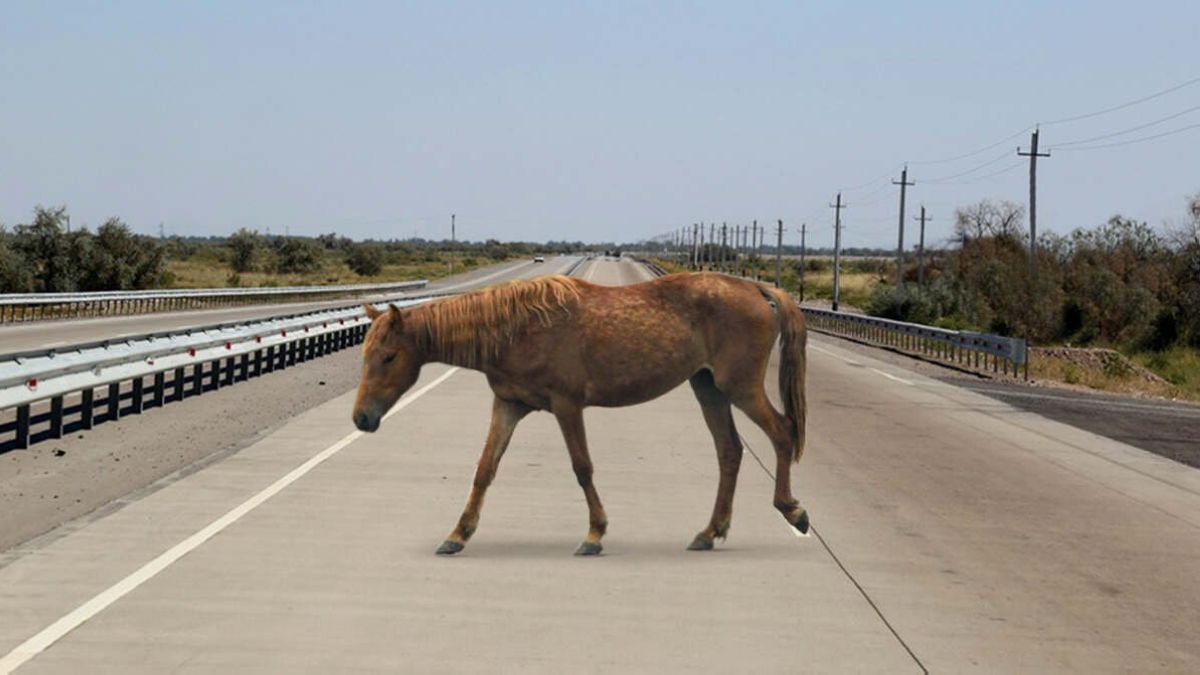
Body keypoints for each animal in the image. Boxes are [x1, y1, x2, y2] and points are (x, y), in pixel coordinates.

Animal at [350, 270, 811, 554]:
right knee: (729, 451)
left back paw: (793, 510)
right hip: (708, 388)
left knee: (782, 432)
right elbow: (485, 469)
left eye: (389, 357)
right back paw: (709, 532)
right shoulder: (509, 405)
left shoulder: (567, 405)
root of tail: (758, 290)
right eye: (366, 354)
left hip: (740, 388)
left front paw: (594, 533)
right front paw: (457, 535)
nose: (362, 418)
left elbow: (582, 467)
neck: (516, 329)